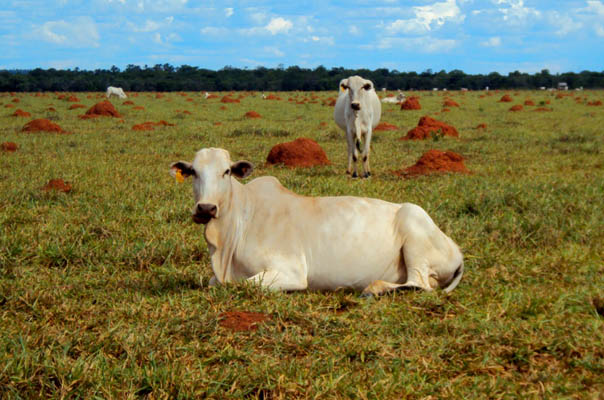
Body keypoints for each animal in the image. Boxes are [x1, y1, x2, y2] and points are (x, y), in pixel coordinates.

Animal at [169, 148, 462, 296]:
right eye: (193, 172)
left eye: (227, 171)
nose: (206, 208)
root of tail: (456, 250)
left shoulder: (291, 272)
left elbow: (239, 284)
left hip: (414, 232)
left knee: (420, 284)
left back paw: (374, 288)